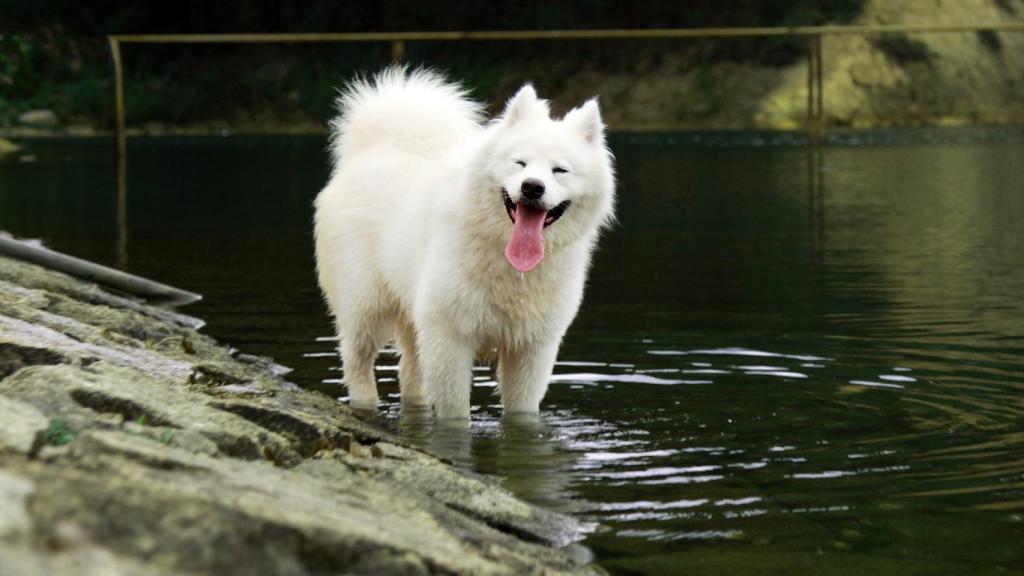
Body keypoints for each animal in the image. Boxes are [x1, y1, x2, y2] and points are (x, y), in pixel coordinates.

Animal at [315, 68, 610, 416]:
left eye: (560, 170)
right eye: (520, 163)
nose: (532, 187)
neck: (509, 264)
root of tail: (376, 148)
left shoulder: (531, 349)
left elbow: (521, 413)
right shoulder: (449, 339)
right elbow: (455, 414)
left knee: (410, 373)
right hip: (366, 306)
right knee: (357, 361)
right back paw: (365, 404)